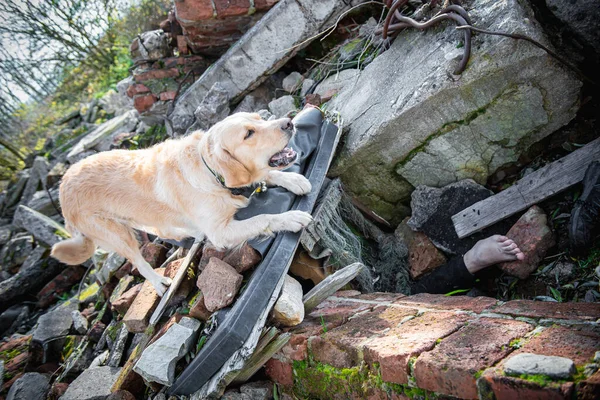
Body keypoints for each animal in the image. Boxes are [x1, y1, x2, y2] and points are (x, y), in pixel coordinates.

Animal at [50, 111, 314, 294]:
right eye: (248, 134)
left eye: (259, 118)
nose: (289, 122)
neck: (211, 173)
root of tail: (62, 188)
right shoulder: (220, 232)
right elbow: (262, 217)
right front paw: (290, 218)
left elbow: (268, 175)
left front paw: (292, 179)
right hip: (117, 235)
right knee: (139, 262)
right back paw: (159, 283)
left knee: (163, 230)